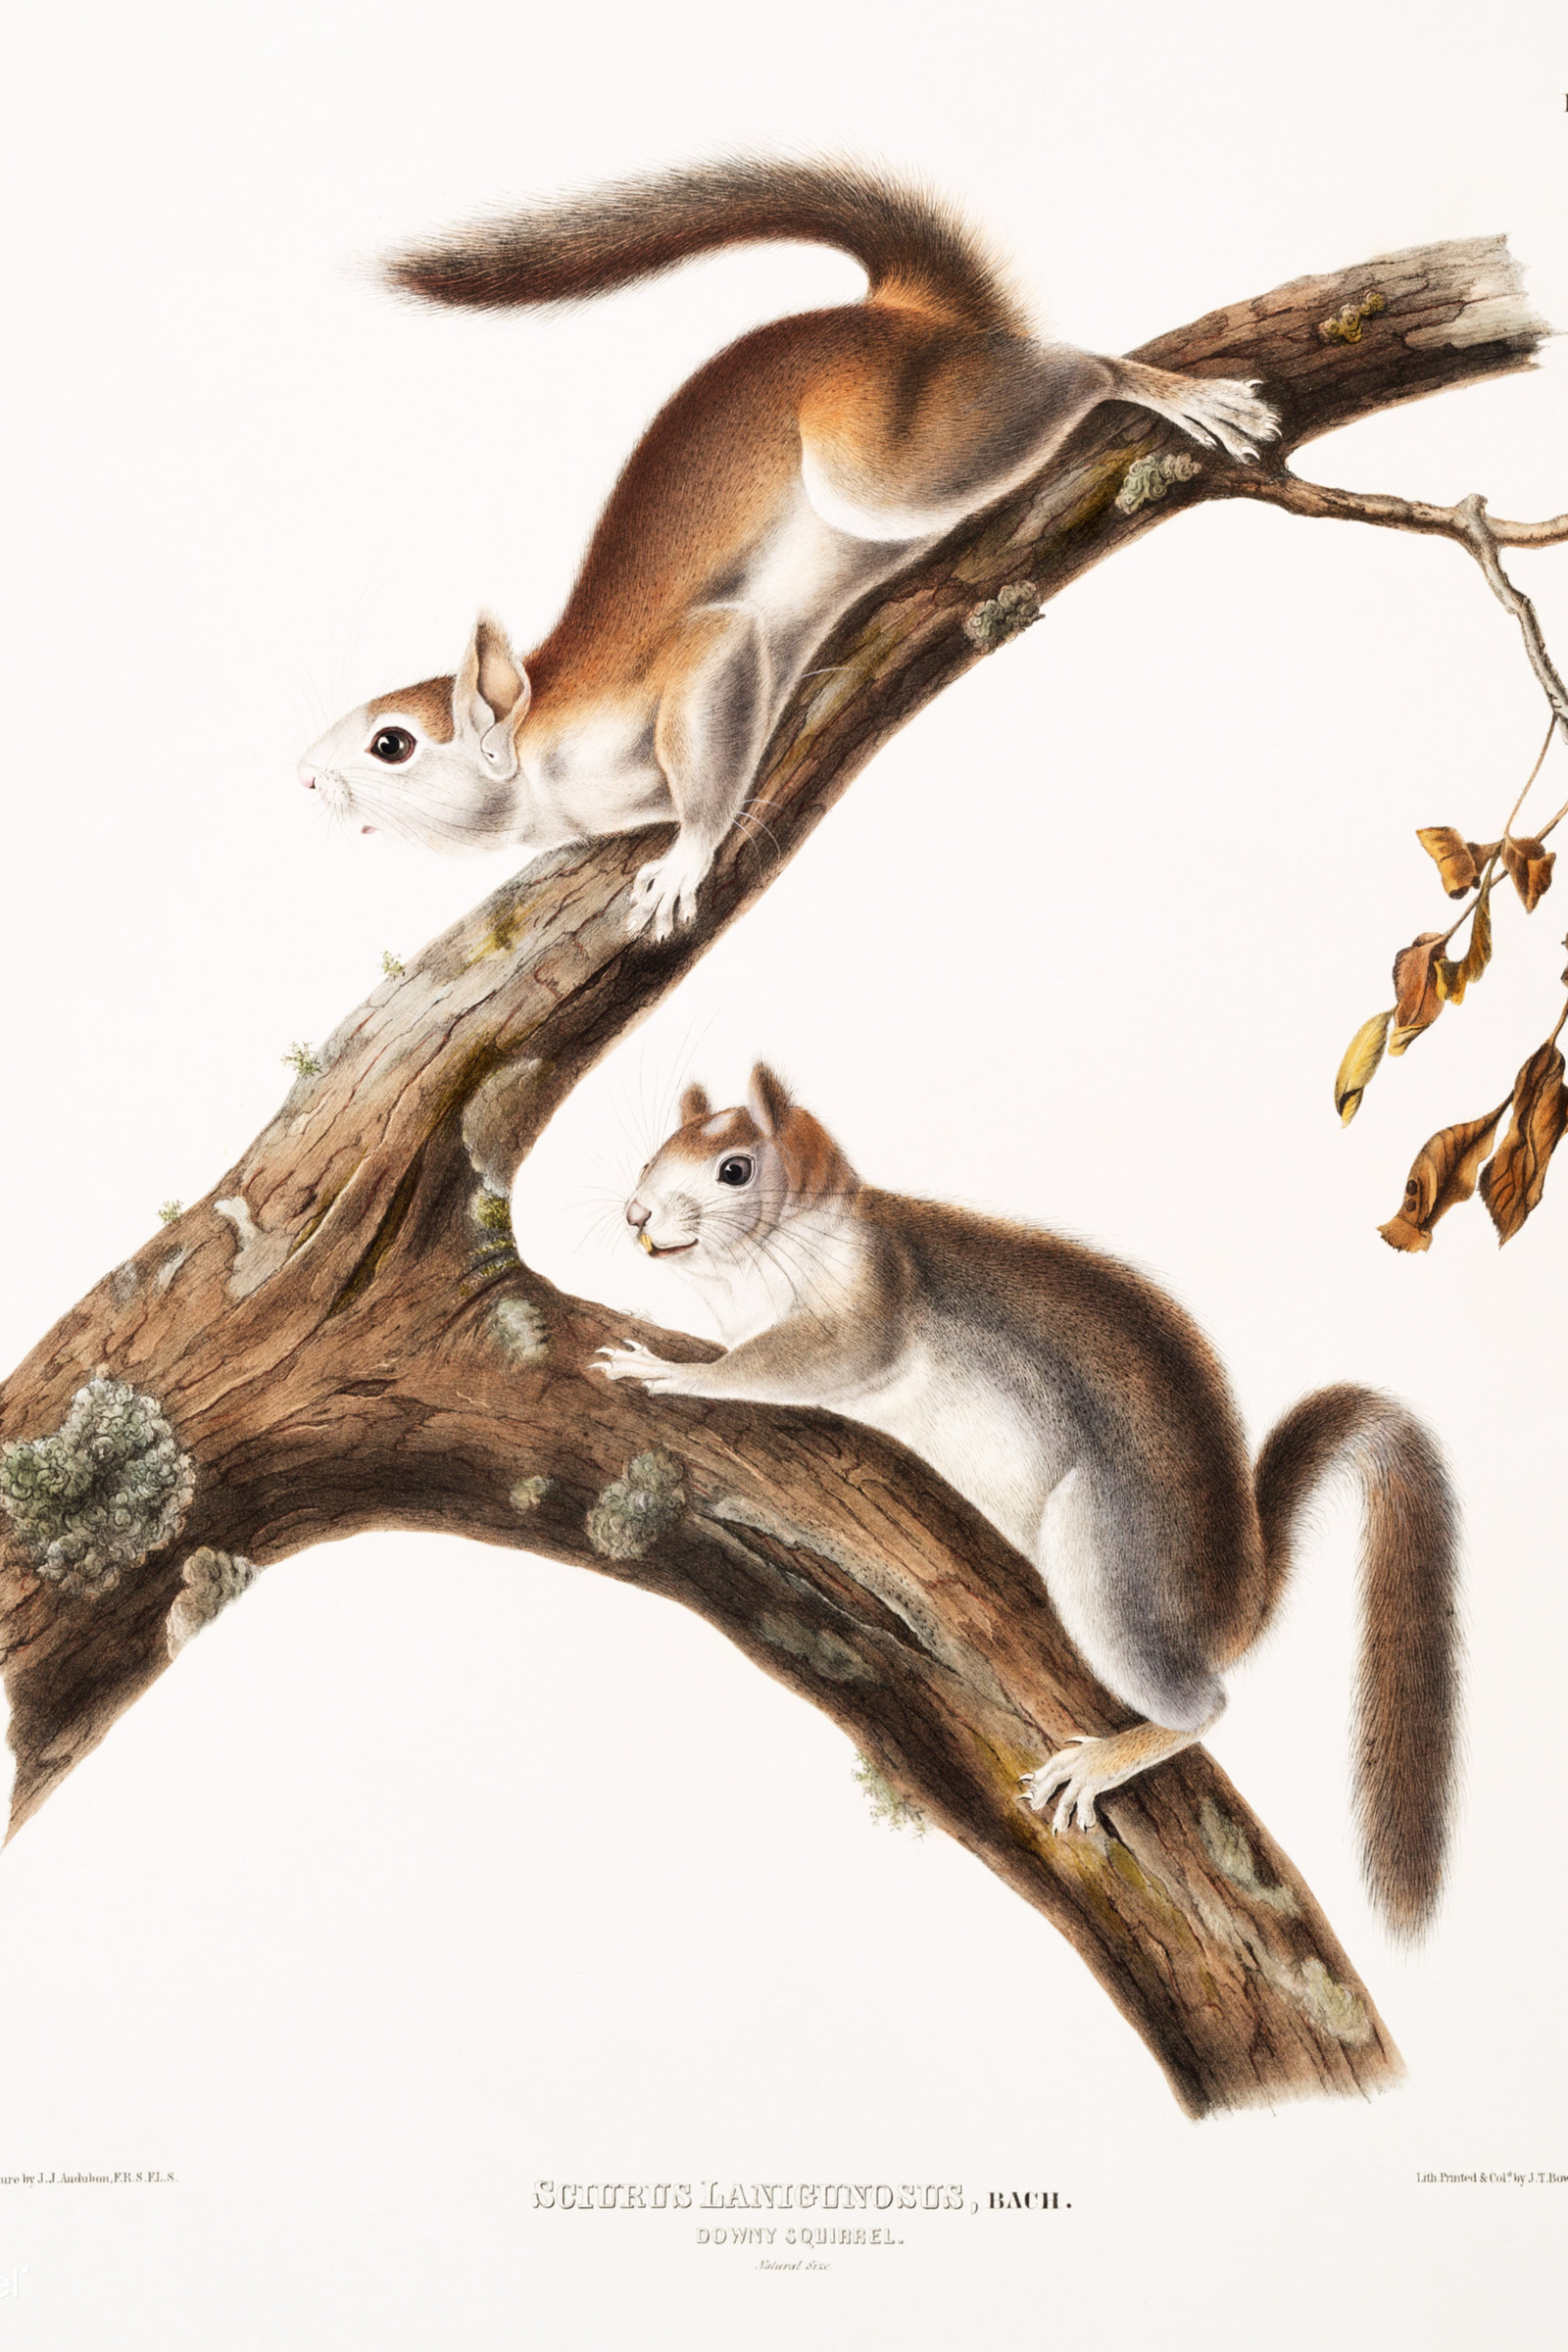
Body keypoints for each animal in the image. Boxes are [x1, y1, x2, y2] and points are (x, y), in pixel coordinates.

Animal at [298, 160, 1279, 939]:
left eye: (391, 744)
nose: (302, 781)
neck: (543, 754)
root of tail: (900, 315)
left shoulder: (695, 662)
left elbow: (717, 682)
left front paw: (686, 858)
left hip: (885, 465)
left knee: (1074, 371)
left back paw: (1166, 390)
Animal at [594, 1065, 1460, 1937]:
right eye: (652, 1158)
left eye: (734, 1170)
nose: (634, 1214)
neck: (774, 1258)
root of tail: (1240, 1608)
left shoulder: (870, 1302)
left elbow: (795, 1361)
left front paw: (668, 1370)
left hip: (1110, 1563)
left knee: (1206, 1706)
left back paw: (1105, 1759)